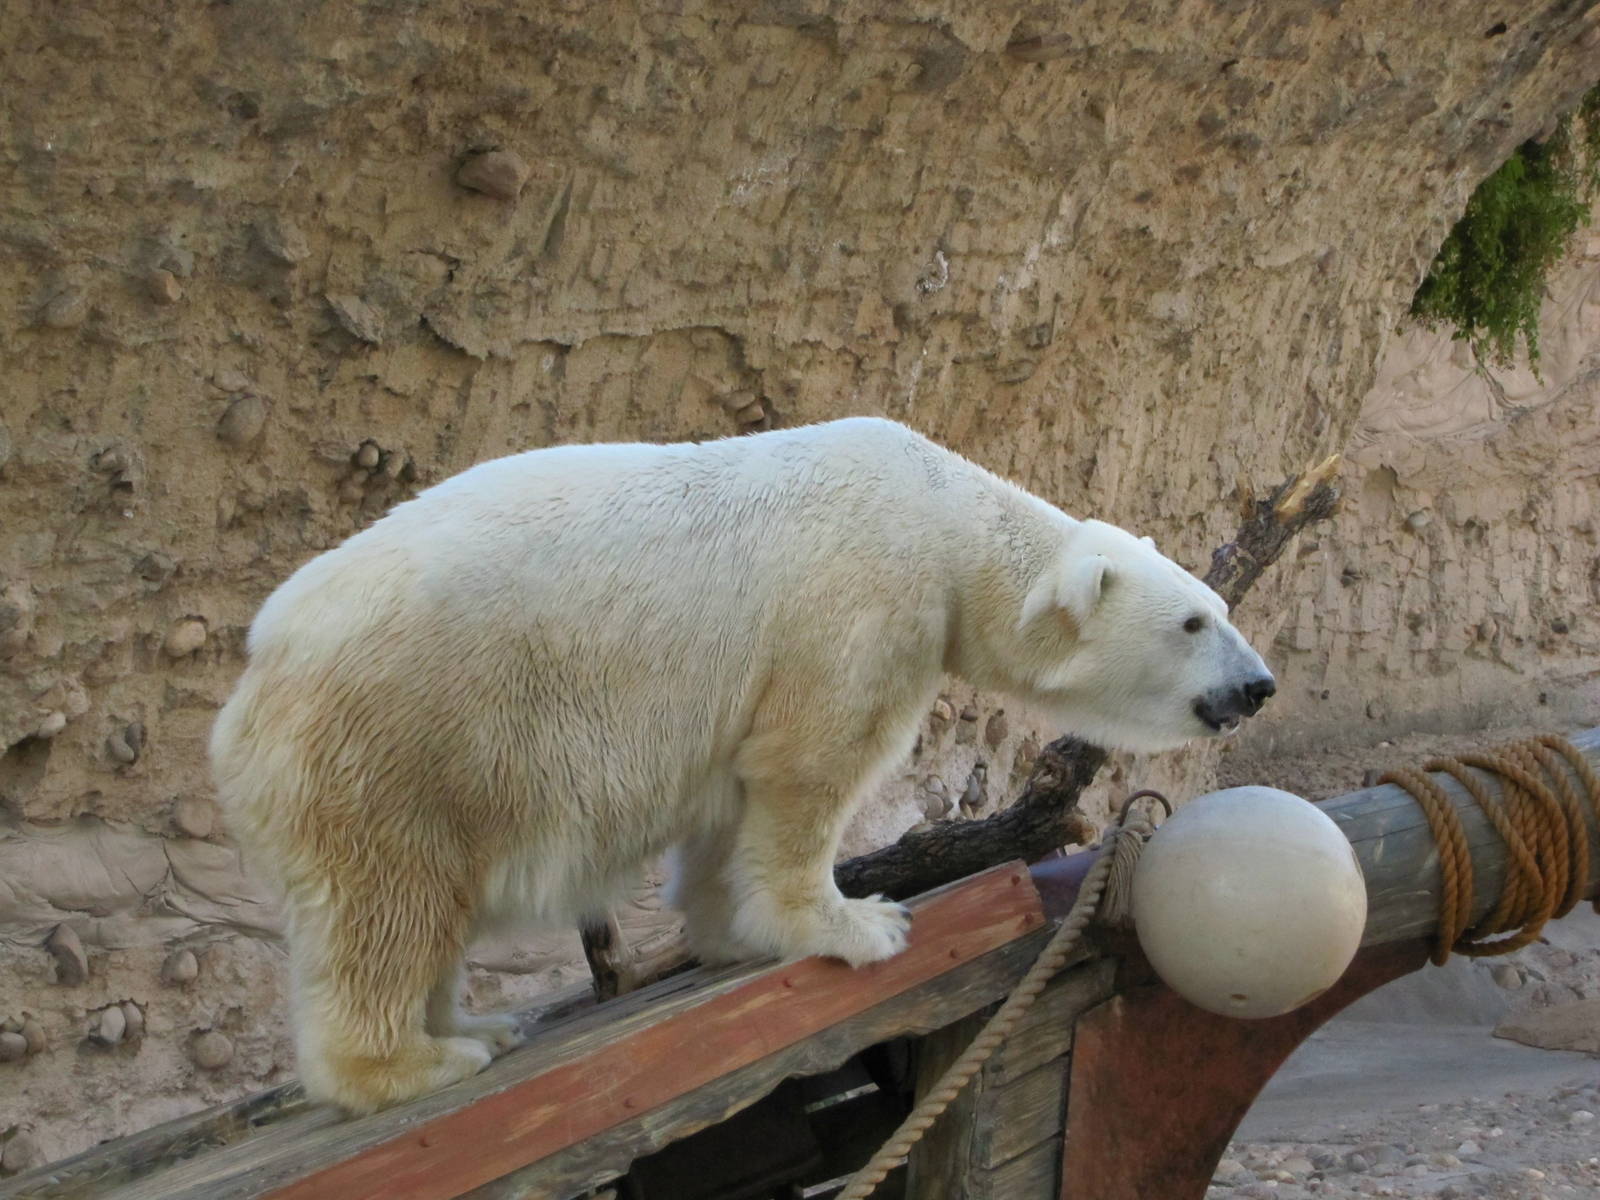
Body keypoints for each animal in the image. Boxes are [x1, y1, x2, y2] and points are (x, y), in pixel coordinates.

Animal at [209, 416, 1275, 1114]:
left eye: (1220, 609)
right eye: (1195, 620)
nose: (1259, 684)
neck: (941, 513)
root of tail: (247, 694)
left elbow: (731, 798)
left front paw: (733, 933)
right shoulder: (862, 598)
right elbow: (811, 761)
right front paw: (860, 925)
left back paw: (474, 1028)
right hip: (400, 735)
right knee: (387, 904)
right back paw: (414, 1065)